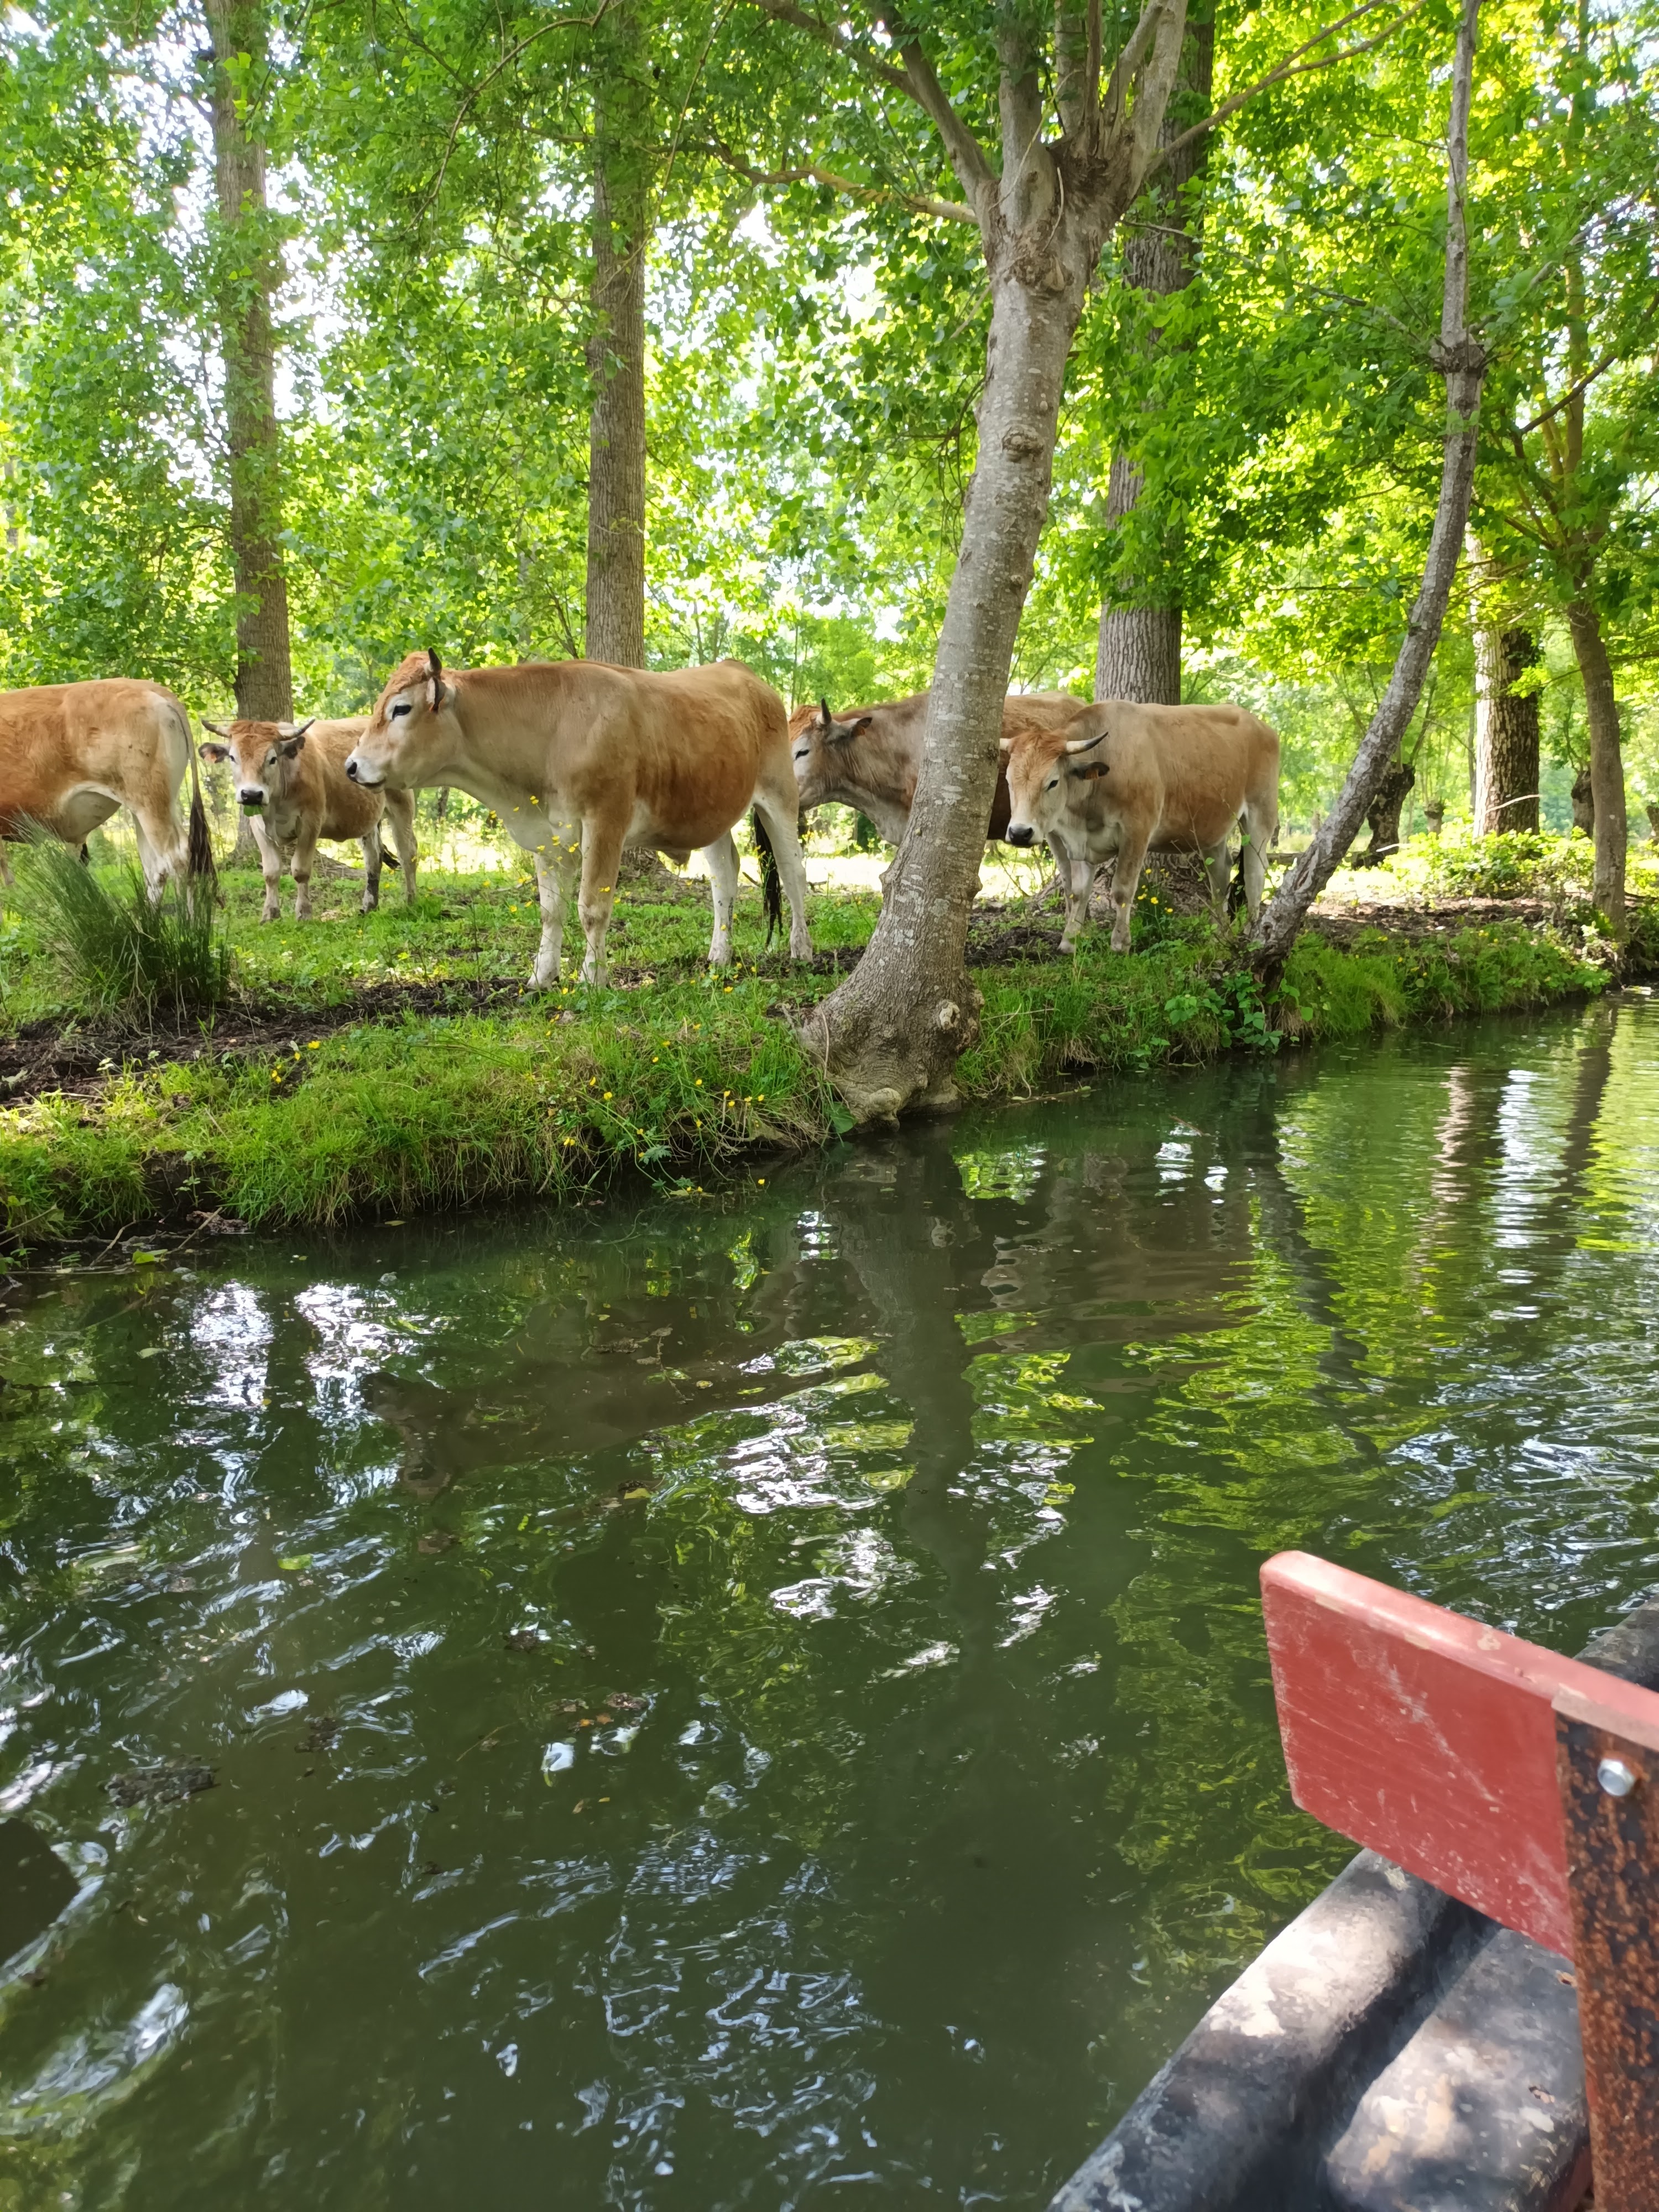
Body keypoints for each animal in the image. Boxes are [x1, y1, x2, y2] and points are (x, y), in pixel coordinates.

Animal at [197, 715, 417, 922]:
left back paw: (411, 900)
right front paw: (270, 914)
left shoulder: (310, 823)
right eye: (233, 758)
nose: (251, 794)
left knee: (408, 852)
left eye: (272, 759)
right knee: (373, 857)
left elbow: (300, 870)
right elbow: (271, 872)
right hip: (368, 818)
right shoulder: (258, 827)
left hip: (402, 803)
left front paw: (304, 913)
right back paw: (369, 906)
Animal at [343, 651, 811, 988]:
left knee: (793, 874)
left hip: (780, 796)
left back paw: (801, 949)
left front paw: (592, 978)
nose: (351, 766)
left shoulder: (605, 821)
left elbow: (592, 907)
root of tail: (745, 675)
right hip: (713, 812)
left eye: (401, 709)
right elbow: (551, 911)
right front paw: (541, 976)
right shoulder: (546, 834)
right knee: (725, 877)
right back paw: (719, 956)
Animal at [1001, 700, 1281, 952]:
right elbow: (1078, 892)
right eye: (1008, 781)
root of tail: (1261, 726)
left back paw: (1252, 935)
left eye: (1053, 782)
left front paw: (1120, 943)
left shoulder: (1137, 831)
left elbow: (1122, 890)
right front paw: (1069, 942)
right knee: (1220, 877)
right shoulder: (1077, 841)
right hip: (1212, 829)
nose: (1020, 833)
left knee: (1255, 876)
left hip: (1260, 816)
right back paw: (1218, 937)